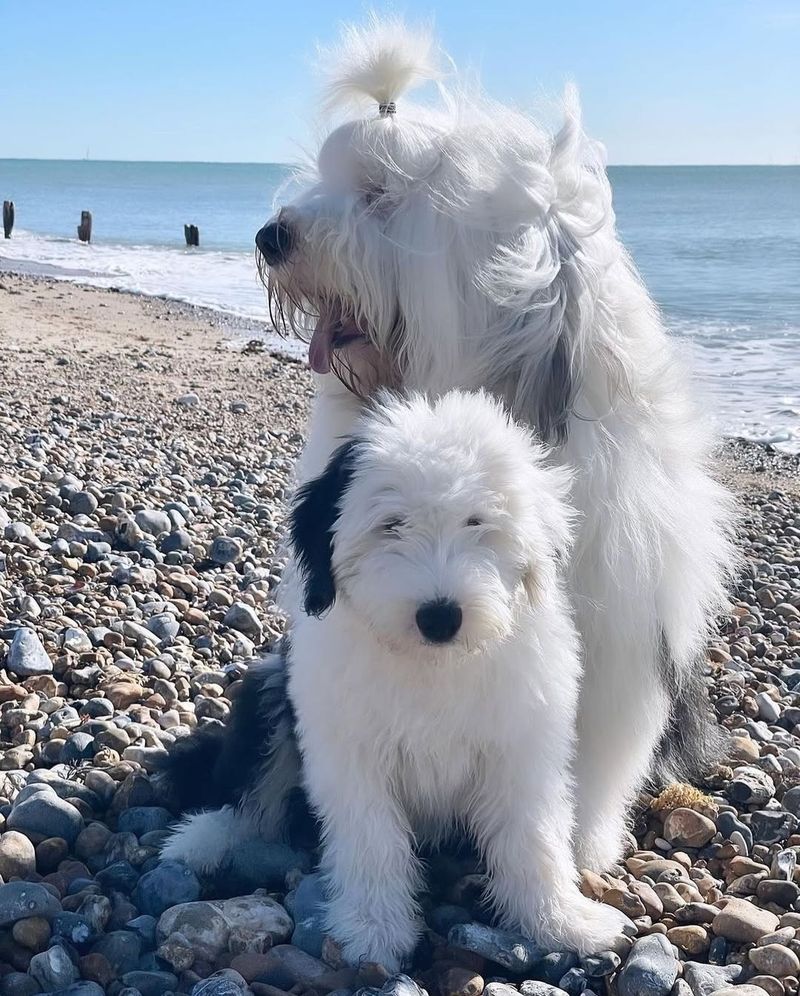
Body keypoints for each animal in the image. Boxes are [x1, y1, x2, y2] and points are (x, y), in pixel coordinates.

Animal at [166, 390, 632, 964]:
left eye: (477, 522)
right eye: (391, 524)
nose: (440, 617)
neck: (430, 665)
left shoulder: (522, 747)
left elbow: (534, 837)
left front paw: (563, 923)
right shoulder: (349, 753)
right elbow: (371, 840)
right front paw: (373, 931)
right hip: (270, 689)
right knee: (248, 796)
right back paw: (198, 840)